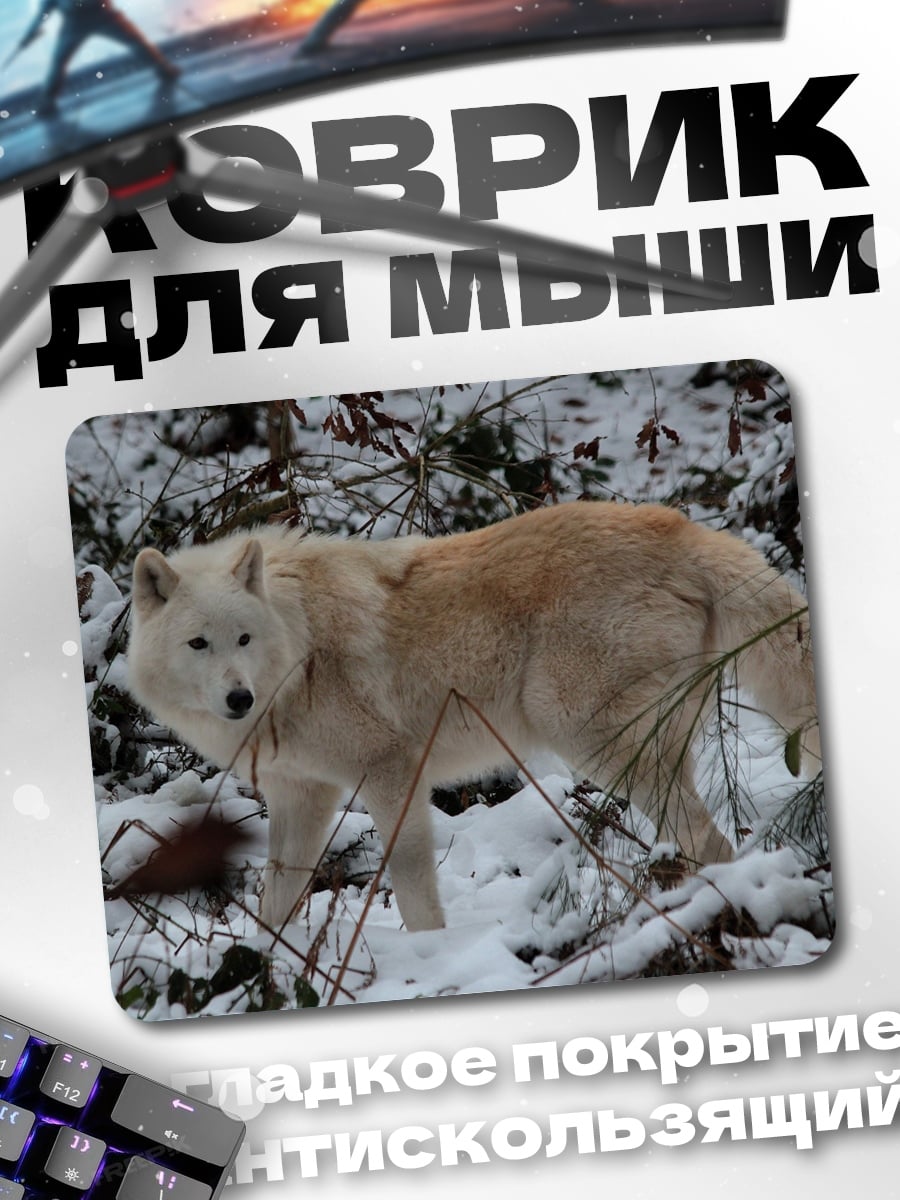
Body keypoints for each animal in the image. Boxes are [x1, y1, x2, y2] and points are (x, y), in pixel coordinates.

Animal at [128, 502, 820, 933]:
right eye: (199, 644)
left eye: (243, 639)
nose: (238, 699)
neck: (300, 649)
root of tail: (686, 531)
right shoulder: (301, 795)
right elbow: (278, 901)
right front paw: (267, 970)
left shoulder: (390, 771)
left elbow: (410, 881)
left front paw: (428, 954)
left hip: (589, 736)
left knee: (712, 842)